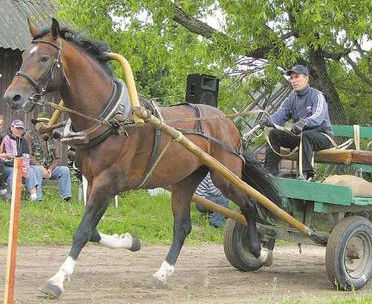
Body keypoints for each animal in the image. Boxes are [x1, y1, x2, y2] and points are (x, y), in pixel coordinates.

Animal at [3, 17, 282, 298]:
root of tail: (228, 122)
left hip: (225, 176)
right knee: (183, 227)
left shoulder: (107, 184)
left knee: (249, 205)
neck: (110, 118)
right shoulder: (92, 181)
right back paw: (163, 273)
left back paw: (259, 251)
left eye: (44, 58)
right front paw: (130, 241)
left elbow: (82, 232)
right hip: (185, 181)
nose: (12, 96)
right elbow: (93, 232)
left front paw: (58, 279)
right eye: (25, 56)